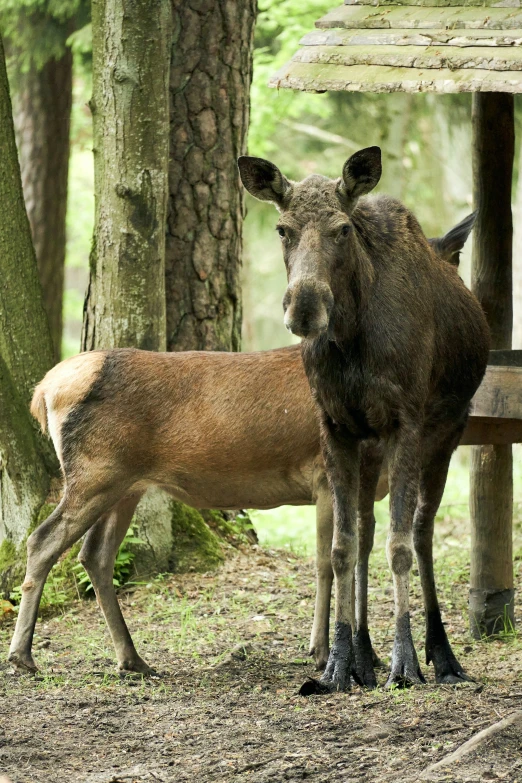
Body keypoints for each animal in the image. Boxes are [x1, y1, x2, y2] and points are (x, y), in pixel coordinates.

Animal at [238, 149, 490, 692]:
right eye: (283, 229)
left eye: (342, 229)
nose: (305, 307)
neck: (352, 337)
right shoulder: (336, 427)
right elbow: (342, 547)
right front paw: (337, 662)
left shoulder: (406, 424)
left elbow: (400, 545)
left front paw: (405, 660)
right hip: (371, 445)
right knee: (368, 530)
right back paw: (363, 653)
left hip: (446, 431)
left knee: (421, 532)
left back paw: (441, 654)